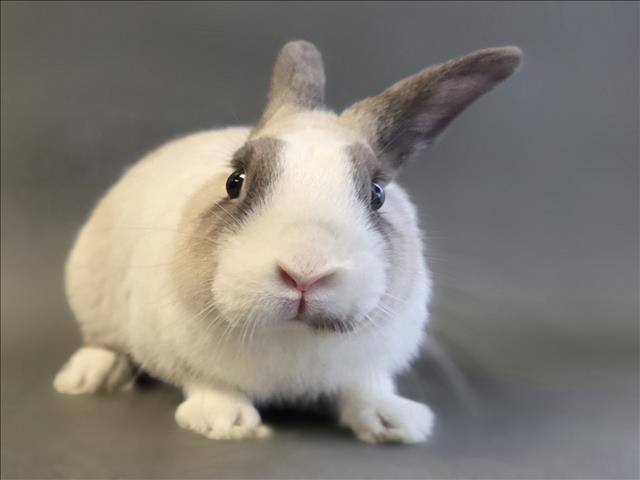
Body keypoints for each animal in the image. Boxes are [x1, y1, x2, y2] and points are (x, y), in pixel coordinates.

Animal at [53, 40, 521, 443]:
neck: (292, 338)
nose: (304, 273)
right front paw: (226, 422)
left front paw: (394, 421)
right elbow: (208, 383)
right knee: (100, 339)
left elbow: (363, 389)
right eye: (235, 181)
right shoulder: (179, 353)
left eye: (377, 194)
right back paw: (89, 377)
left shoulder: (370, 365)